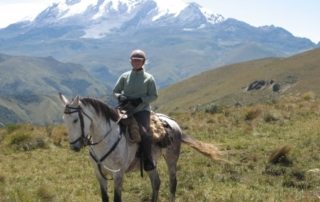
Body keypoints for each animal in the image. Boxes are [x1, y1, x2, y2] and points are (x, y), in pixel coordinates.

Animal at [59, 94, 220, 202]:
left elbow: (117, 199)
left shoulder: (118, 175)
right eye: (64, 120)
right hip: (151, 163)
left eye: (75, 120)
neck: (105, 140)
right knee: (156, 183)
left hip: (171, 158)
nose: (74, 146)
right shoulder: (99, 175)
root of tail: (172, 122)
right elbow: (105, 198)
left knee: (173, 182)